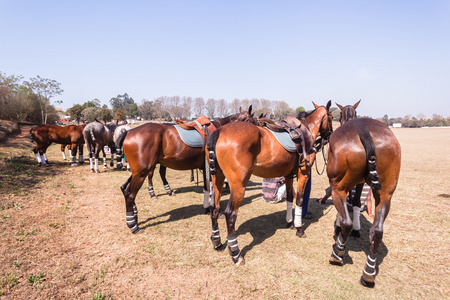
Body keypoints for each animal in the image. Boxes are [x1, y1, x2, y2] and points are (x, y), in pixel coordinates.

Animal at [119, 107, 255, 234]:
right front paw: (215, 210)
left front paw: (207, 208)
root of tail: (128, 131)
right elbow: (213, 191)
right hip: (142, 172)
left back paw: (135, 216)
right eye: (254, 121)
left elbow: (207, 188)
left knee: (125, 189)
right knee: (130, 194)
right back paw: (133, 225)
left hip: (138, 171)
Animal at [206, 101, 332, 264]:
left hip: (218, 179)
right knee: (230, 214)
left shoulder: (288, 176)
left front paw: (290, 223)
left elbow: (290, 197)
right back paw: (236, 254)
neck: (306, 130)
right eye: (331, 117)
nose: (330, 134)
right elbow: (299, 199)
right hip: (239, 185)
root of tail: (219, 132)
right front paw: (299, 229)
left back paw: (217, 242)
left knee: (214, 208)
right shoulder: (303, 173)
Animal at [326, 116, 402, 288]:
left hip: (337, 187)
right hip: (386, 192)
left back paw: (337, 254)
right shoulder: (361, 183)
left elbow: (348, 206)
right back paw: (368, 273)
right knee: (377, 231)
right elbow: (355, 202)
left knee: (346, 221)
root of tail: (364, 131)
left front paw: (339, 228)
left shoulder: (345, 186)